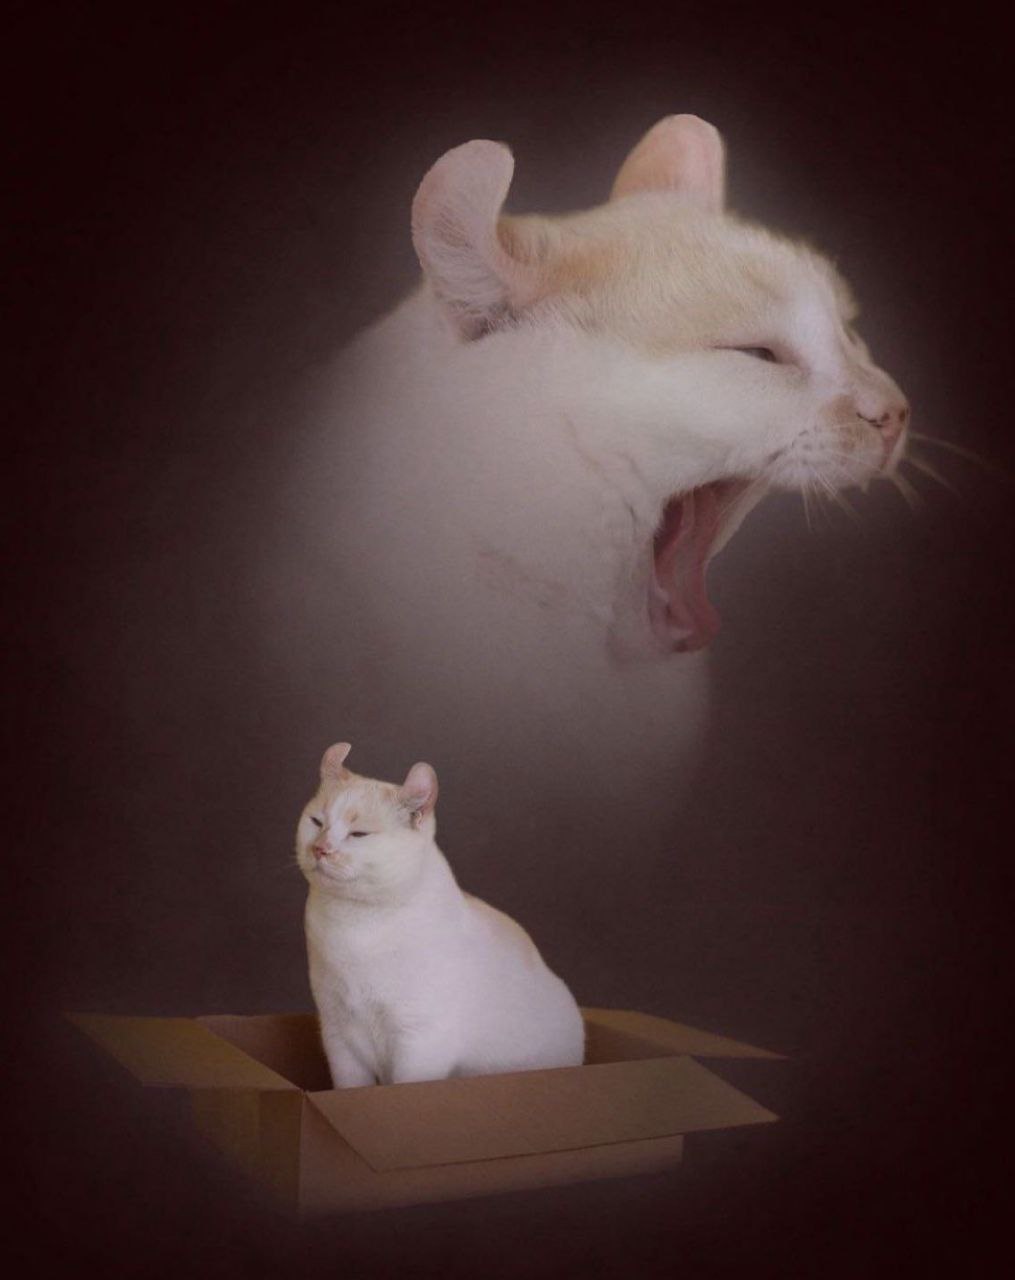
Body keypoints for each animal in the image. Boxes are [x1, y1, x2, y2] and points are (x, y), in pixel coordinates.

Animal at [297, 742, 586, 1086]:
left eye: (359, 834)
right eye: (316, 822)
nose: (320, 849)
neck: (353, 924)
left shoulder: (421, 1040)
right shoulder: (338, 1037)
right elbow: (350, 1088)